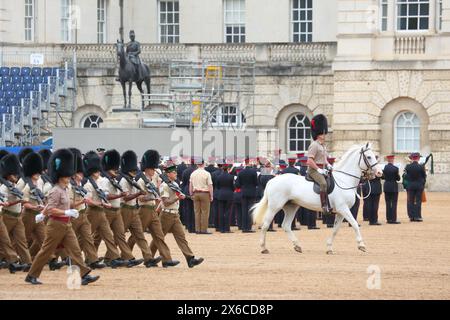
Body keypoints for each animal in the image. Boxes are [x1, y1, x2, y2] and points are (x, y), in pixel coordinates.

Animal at [251, 142, 382, 255]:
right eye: (369, 157)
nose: (380, 173)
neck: (344, 180)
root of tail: (272, 180)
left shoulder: (340, 212)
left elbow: (335, 229)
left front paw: (329, 248)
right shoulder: (343, 209)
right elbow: (354, 224)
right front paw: (361, 245)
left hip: (291, 207)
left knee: (286, 225)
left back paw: (297, 246)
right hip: (274, 207)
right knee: (266, 224)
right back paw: (264, 248)